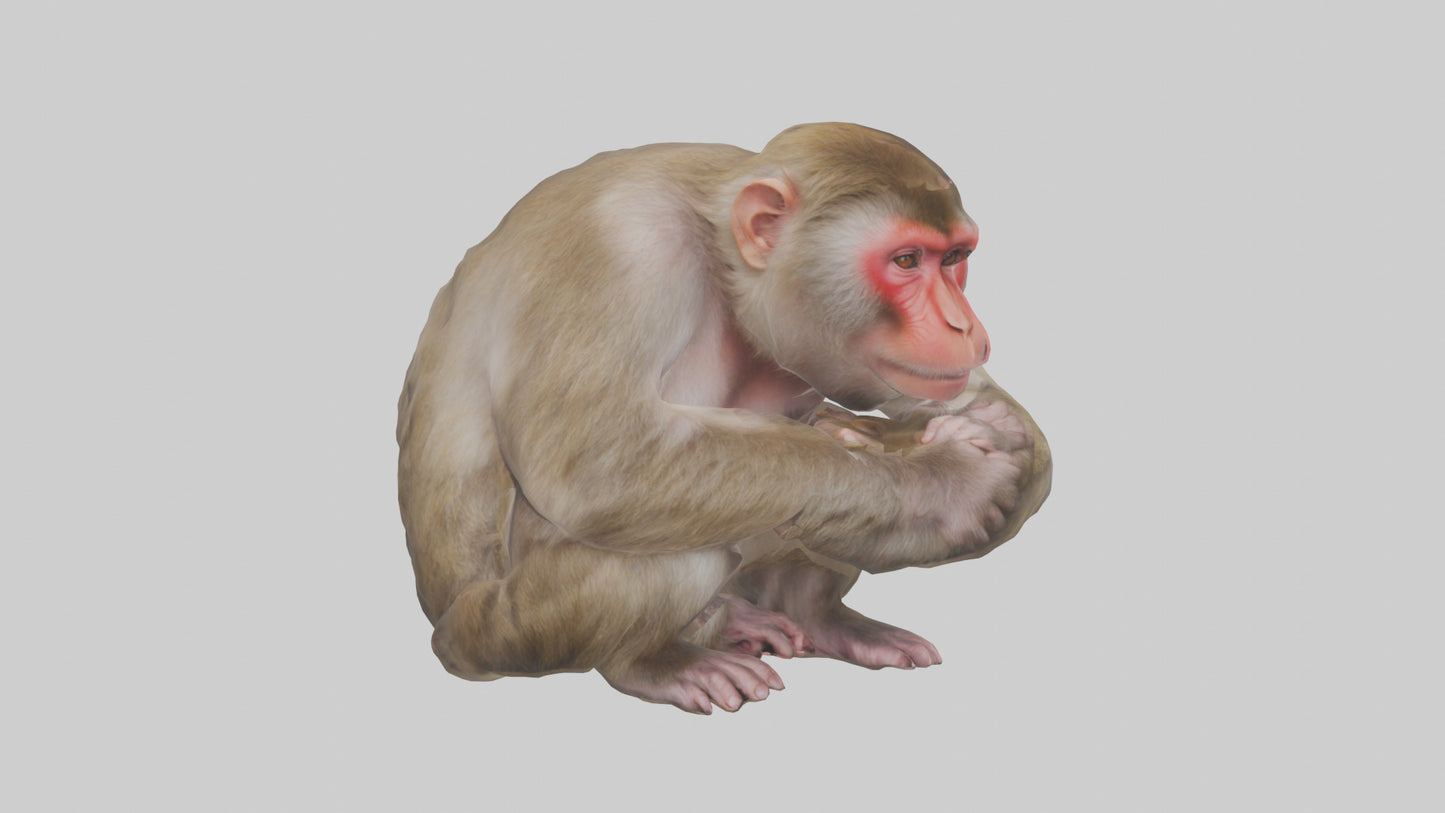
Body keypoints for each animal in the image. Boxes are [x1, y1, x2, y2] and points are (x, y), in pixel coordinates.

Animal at [398, 123, 1052, 714]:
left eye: (957, 258)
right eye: (908, 259)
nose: (963, 325)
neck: (722, 257)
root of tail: (446, 632)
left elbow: (968, 402)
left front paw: (992, 441)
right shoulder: (621, 242)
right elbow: (596, 466)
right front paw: (940, 489)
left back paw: (811, 616)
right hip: (512, 628)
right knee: (685, 539)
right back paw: (653, 661)